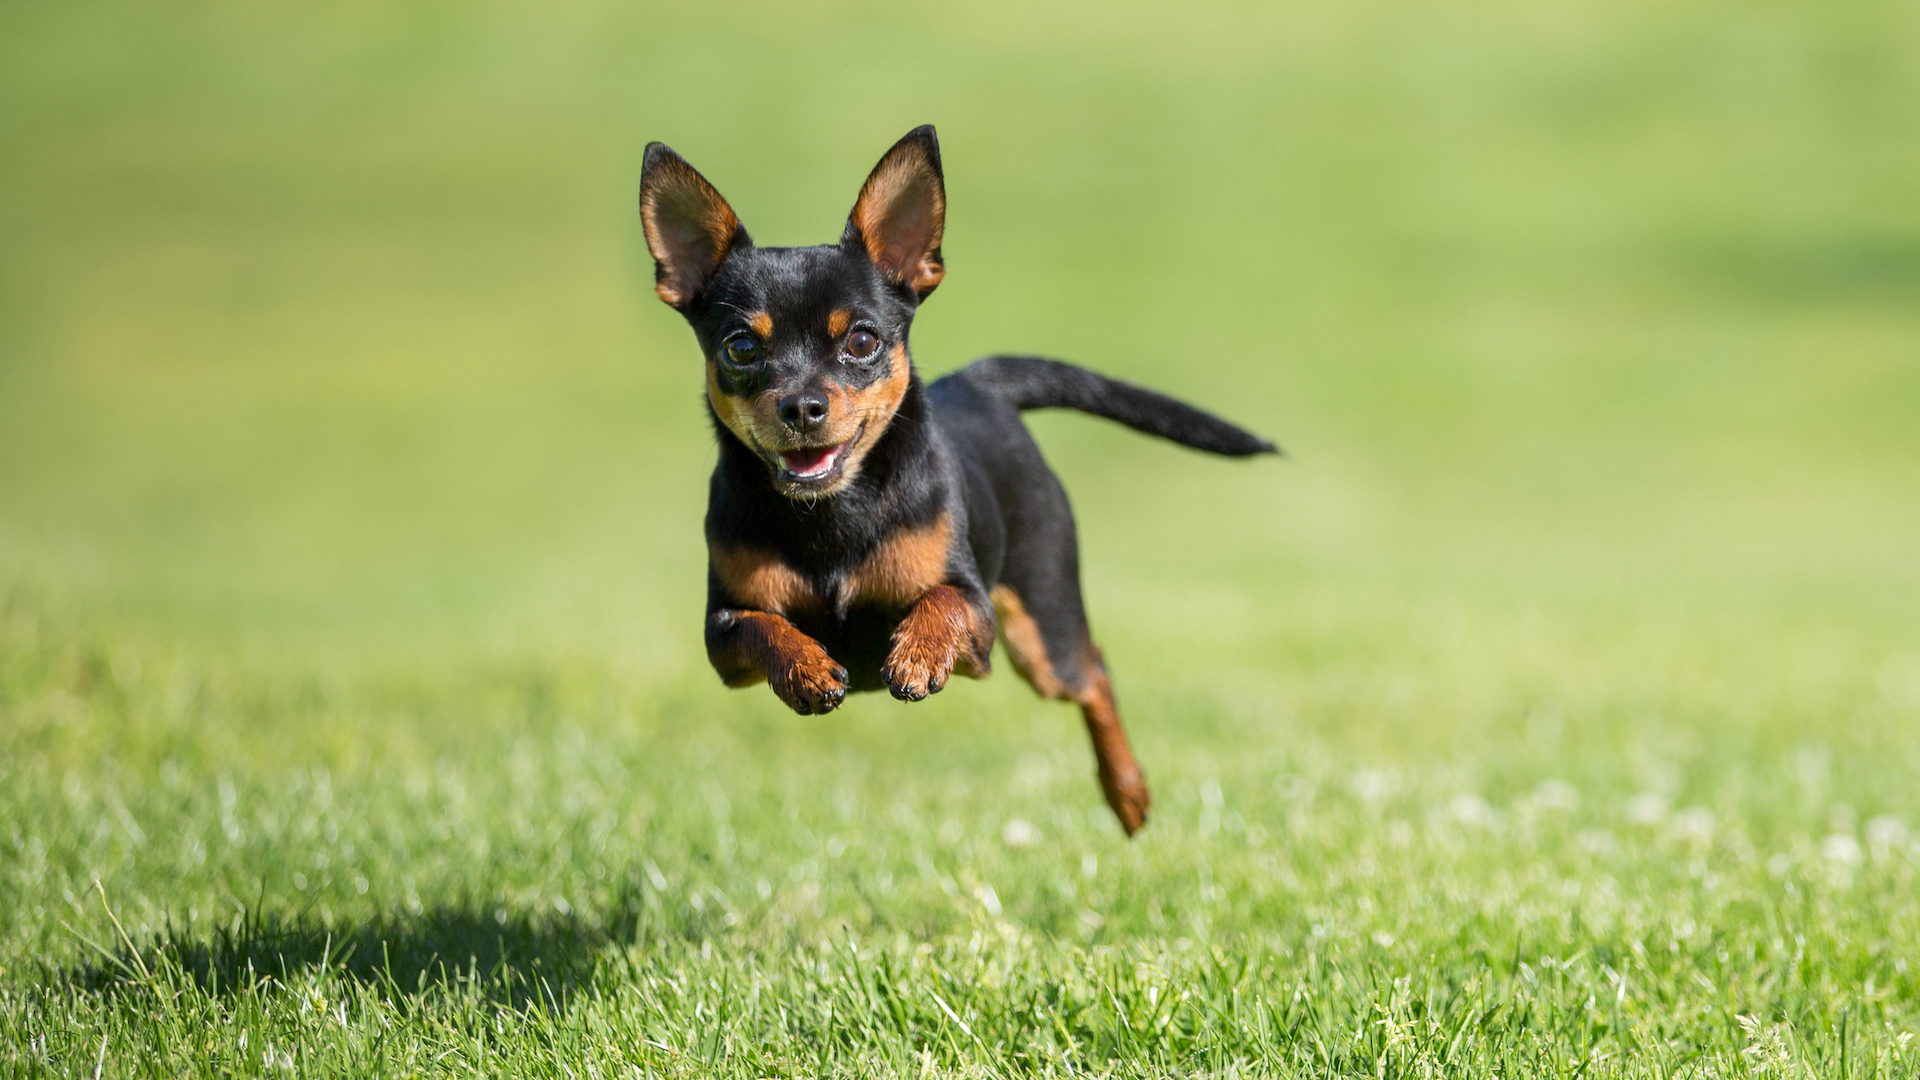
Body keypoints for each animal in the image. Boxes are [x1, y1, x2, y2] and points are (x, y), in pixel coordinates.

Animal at [637, 125, 1282, 834]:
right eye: (741, 349)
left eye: (862, 342)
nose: (802, 407)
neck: (832, 514)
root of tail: (979, 384)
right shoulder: (722, 634)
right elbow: (763, 626)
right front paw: (806, 668)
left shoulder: (979, 626)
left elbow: (941, 600)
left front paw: (916, 656)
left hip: (1041, 630)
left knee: (1092, 671)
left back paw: (1128, 791)